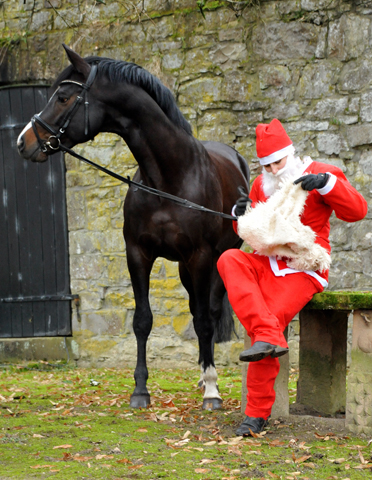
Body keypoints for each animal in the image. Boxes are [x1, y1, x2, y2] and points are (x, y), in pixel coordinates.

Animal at [17, 45, 250, 408]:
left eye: (64, 97)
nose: (22, 142)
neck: (170, 177)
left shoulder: (200, 257)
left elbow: (204, 321)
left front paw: (212, 391)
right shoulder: (138, 254)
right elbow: (142, 321)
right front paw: (140, 389)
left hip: (216, 259)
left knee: (208, 313)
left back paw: (208, 380)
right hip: (184, 268)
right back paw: (201, 374)